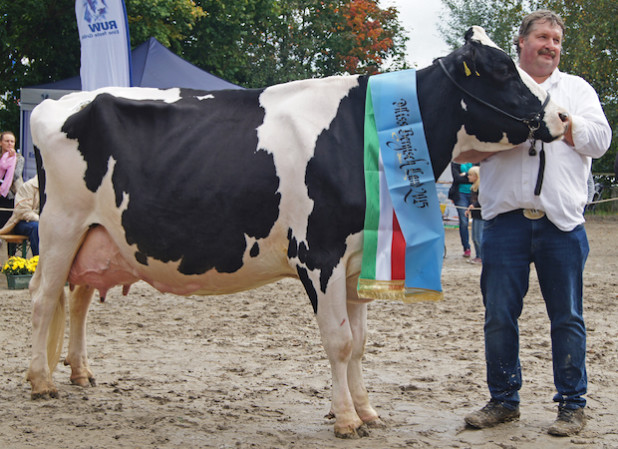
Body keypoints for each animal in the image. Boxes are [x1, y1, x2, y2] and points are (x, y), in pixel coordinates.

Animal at [27, 26, 568, 436]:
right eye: (503, 70)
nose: (561, 116)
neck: (360, 137)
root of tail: (55, 103)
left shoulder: (356, 261)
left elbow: (360, 340)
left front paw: (367, 409)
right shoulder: (319, 255)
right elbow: (339, 340)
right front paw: (347, 419)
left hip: (96, 235)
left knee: (77, 298)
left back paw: (79, 372)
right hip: (59, 226)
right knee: (44, 296)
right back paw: (41, 381)